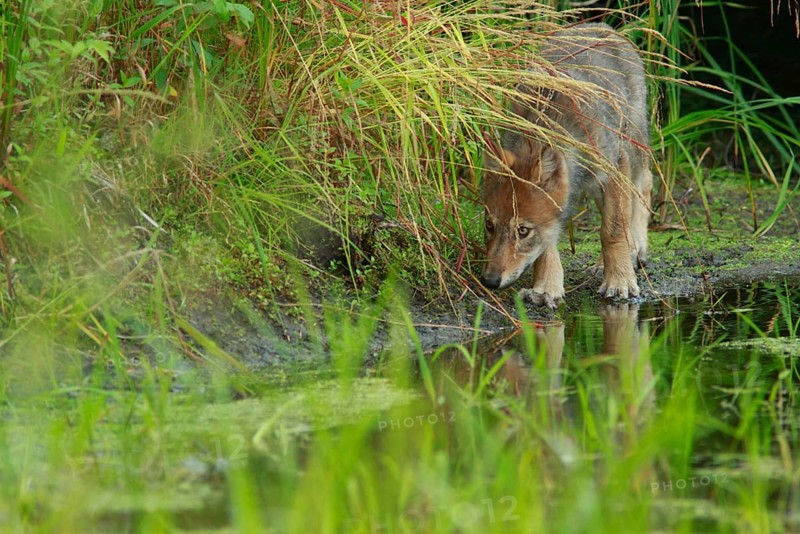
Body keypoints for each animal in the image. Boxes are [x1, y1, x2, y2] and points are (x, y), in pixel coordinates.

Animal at [480, 23, 652, 308]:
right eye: (489, 225)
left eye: (523, 231)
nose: (489, 281)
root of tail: (600, 26)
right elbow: (547, 246)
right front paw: (545, 288)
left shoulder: (614, 169)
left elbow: (613, 231)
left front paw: (620, 282)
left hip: (632, 151)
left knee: (643, 187)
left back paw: (633, 251)